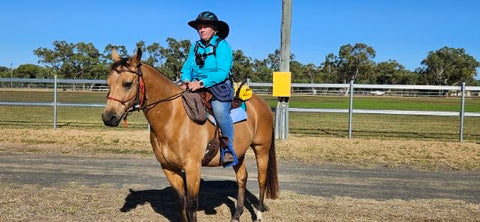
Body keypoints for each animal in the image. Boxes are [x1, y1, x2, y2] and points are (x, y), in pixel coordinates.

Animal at [103, 48, 280, 222]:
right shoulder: (169, 168)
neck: (172, 117)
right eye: (108, 83)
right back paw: (236, 215)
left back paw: (259, 215)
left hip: (261, 149)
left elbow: (191, 205)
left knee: (261, 180)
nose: (108, 117)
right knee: (242, 177)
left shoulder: (193, 168)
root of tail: (262, 104)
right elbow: (182, 203)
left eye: (127, 84)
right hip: (239, 153)